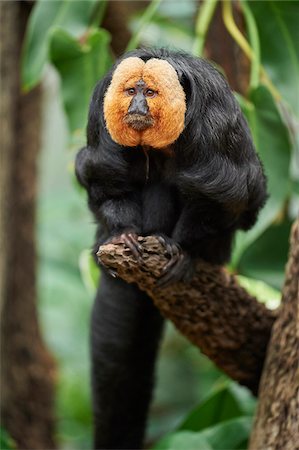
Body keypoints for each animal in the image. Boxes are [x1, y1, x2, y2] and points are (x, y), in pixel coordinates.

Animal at [75, 47, 268, 448]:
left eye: (149, 93)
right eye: (131, 90)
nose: (136, 105)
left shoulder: (214, 122)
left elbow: (224, 192)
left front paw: (181, 250)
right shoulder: (100, 111)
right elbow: (104, 175)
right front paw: (125, 234)